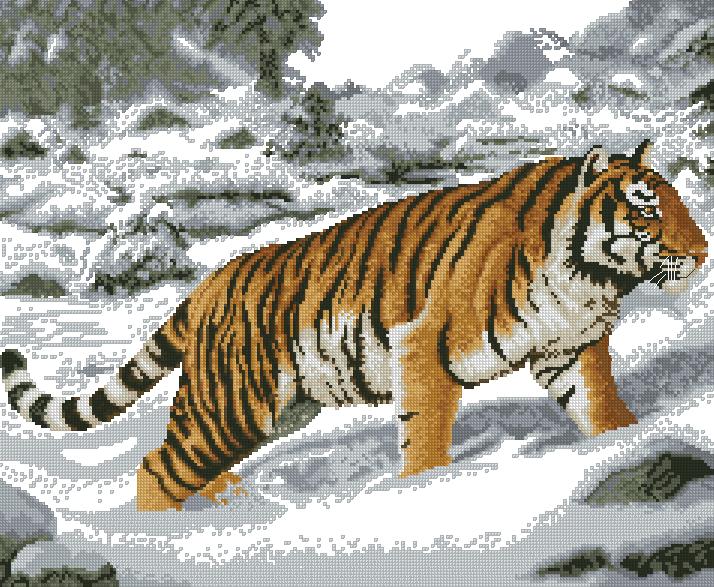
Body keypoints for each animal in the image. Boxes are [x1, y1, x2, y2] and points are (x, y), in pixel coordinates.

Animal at [1, 140, 708, 511]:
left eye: (676, 200)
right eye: (648, 210)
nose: (703, 251)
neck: (588, 277)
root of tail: (208, 283)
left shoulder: (573, 348)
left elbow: (603, 412)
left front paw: (629, 445)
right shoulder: (425, 348)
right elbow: (425, 439)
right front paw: (426, 492)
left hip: (276, 412)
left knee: (182, 463)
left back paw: (220, 500)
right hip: (231, 405)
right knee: (155, 465)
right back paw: (169, 531)